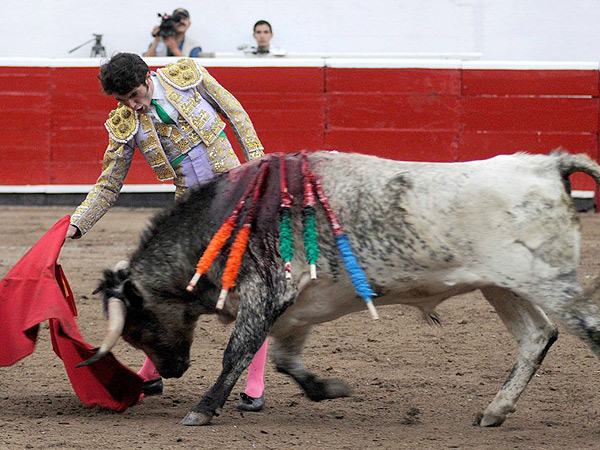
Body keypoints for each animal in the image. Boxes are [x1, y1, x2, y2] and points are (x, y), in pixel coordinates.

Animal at [86, 150, 600, 426]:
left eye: (137, 327)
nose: (170, 371)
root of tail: (548, 165)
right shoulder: (296, 309)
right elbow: (284, 359)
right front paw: (327, 388)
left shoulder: (268, 291)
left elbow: (237, 352)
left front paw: (202, 409)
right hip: (503, 285)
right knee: (537, 336)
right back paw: (495, 410)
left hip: (549, 283)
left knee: (587, 329)